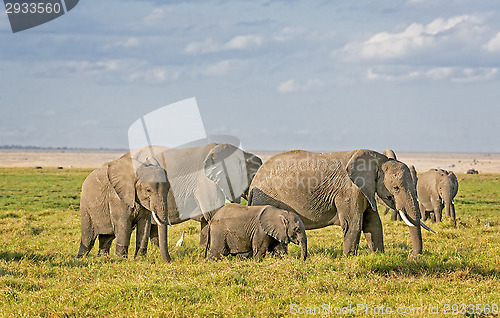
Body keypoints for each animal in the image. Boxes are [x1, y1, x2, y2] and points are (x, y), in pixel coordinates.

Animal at [248, 148, 436, 256]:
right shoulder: (349, 190)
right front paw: (349, 258)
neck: (379, 159)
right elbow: (354, 223)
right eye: (396, 188)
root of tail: (253, 183)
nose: (413, 255)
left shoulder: (365, 191)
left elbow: (373, 223)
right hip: (266, 197)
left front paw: (378, 256)